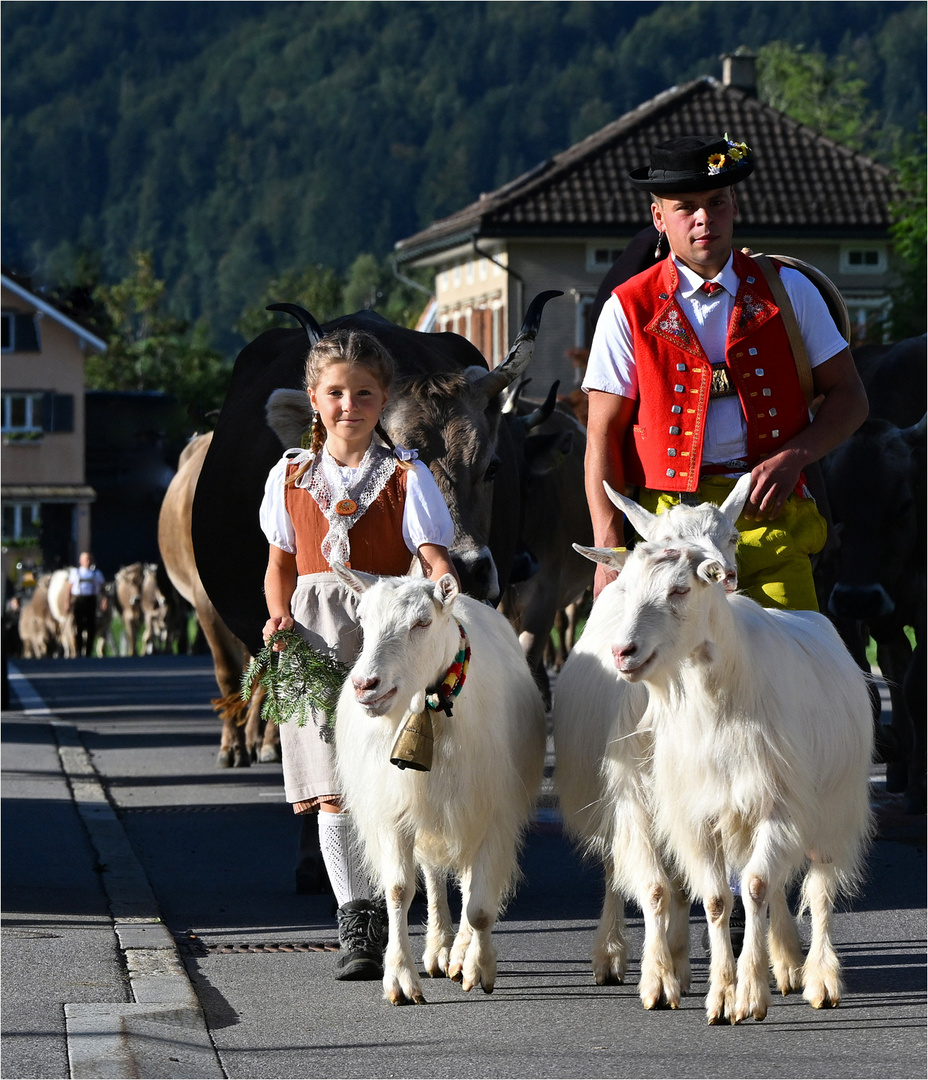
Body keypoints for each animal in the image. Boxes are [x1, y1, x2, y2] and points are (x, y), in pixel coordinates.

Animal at [332, 565, 544, 1002]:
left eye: (422, 622)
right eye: (363, 620)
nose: (365, 685)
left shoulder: (492, 811)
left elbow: (479, 906)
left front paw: (477, 967)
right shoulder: (395, 810)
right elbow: (398, 890)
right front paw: (400, 978)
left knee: (468, 880)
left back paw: (459, 952)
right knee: (433, 873)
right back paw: (438, 949)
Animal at [553, 477, 751, 1006]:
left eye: (732, 536)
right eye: (664, 541)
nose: (722, 575)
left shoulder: (690, 795)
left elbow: (682, 884)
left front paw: (675, 967)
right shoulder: (632, 794)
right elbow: (656, 887)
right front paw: (657, 979)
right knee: (615, 869)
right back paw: (610, 954)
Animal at [604, 544, 872, 1023]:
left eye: (680, 589)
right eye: (625, 589)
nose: (622, 651)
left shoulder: (778, 805)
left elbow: (756, 886)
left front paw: (749, 994)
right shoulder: (701, 814)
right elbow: (717, 899)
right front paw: (723, 995)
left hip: (832, 810)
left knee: (819, 888)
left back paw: (820, 979)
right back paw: (786, 963)